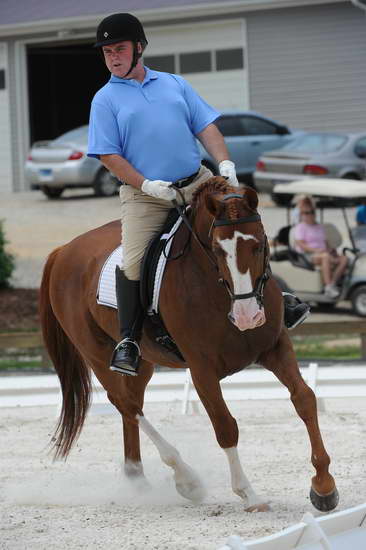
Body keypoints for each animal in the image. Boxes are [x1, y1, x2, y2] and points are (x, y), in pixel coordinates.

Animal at [39, 179, 338, 516]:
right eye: (217, 250)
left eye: (260, 244)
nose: (248, 317)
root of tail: (64, 250)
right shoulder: (202, 370)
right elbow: (225, 426)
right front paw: (249, 495)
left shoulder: (275, 347)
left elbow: (305, 399)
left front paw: (324, 487)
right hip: (98, 355)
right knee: (126, 404)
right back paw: (187, 480)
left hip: (143, 363)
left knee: (133, 403)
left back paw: (137, 478)